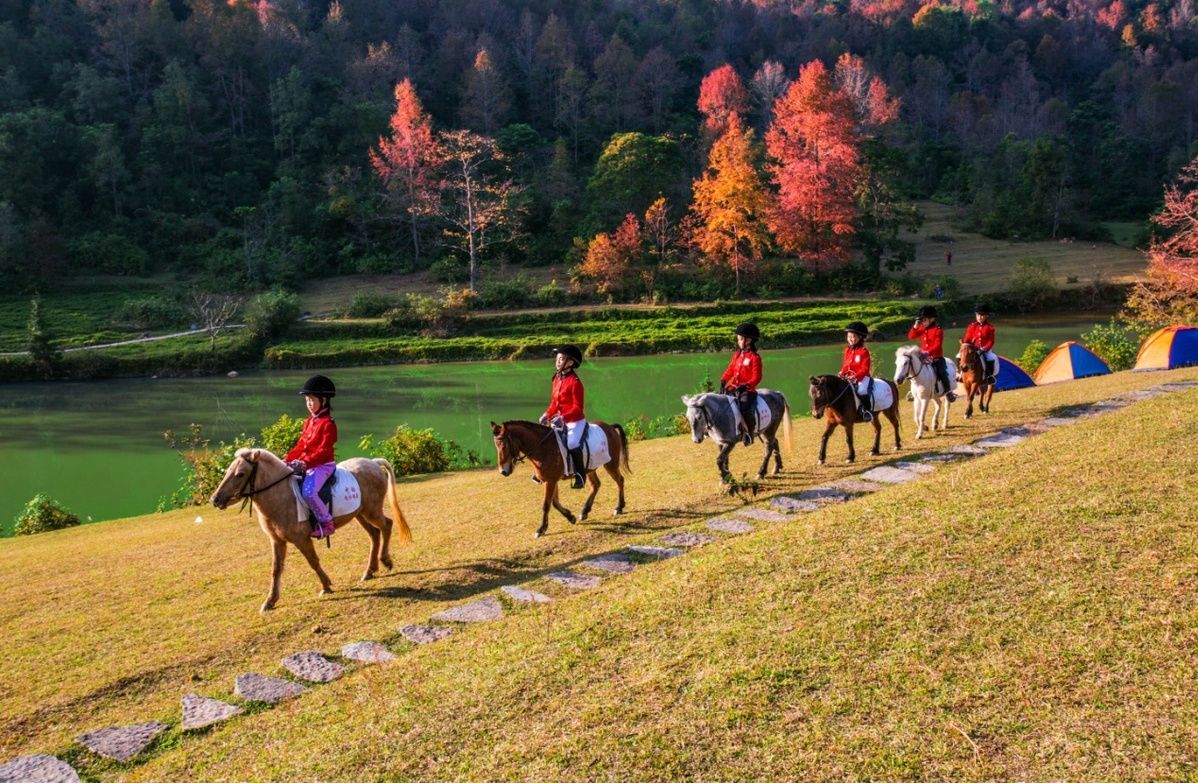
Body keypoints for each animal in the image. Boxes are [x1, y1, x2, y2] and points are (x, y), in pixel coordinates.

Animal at [215, 447, 416, 612]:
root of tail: (373, 463)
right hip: (360, 514)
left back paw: (386, 561)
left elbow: (313, 561)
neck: (282, 496)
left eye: (240, 474)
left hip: (371, 511)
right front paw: (270, 601)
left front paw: (326, 586)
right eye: (228, 472)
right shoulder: (277, 541)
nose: (215, 499)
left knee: (387, 525)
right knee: (374, 534)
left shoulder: (301, 539)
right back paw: (370, 571)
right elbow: (276, 569)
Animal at [491, 423, 632, 541]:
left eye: (504, 445)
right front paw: (570, 517)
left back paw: (619, 507)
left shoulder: (551, 481)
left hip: (610, 464)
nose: (503, 471)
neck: (542, 447)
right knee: (596, 485)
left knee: (619, 481)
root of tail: (609, 427)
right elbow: (554, 502)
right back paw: (584, 511)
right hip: (590, 468)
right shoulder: (549, 481)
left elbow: (546, 505)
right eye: (496, 446)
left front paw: (541, 529)